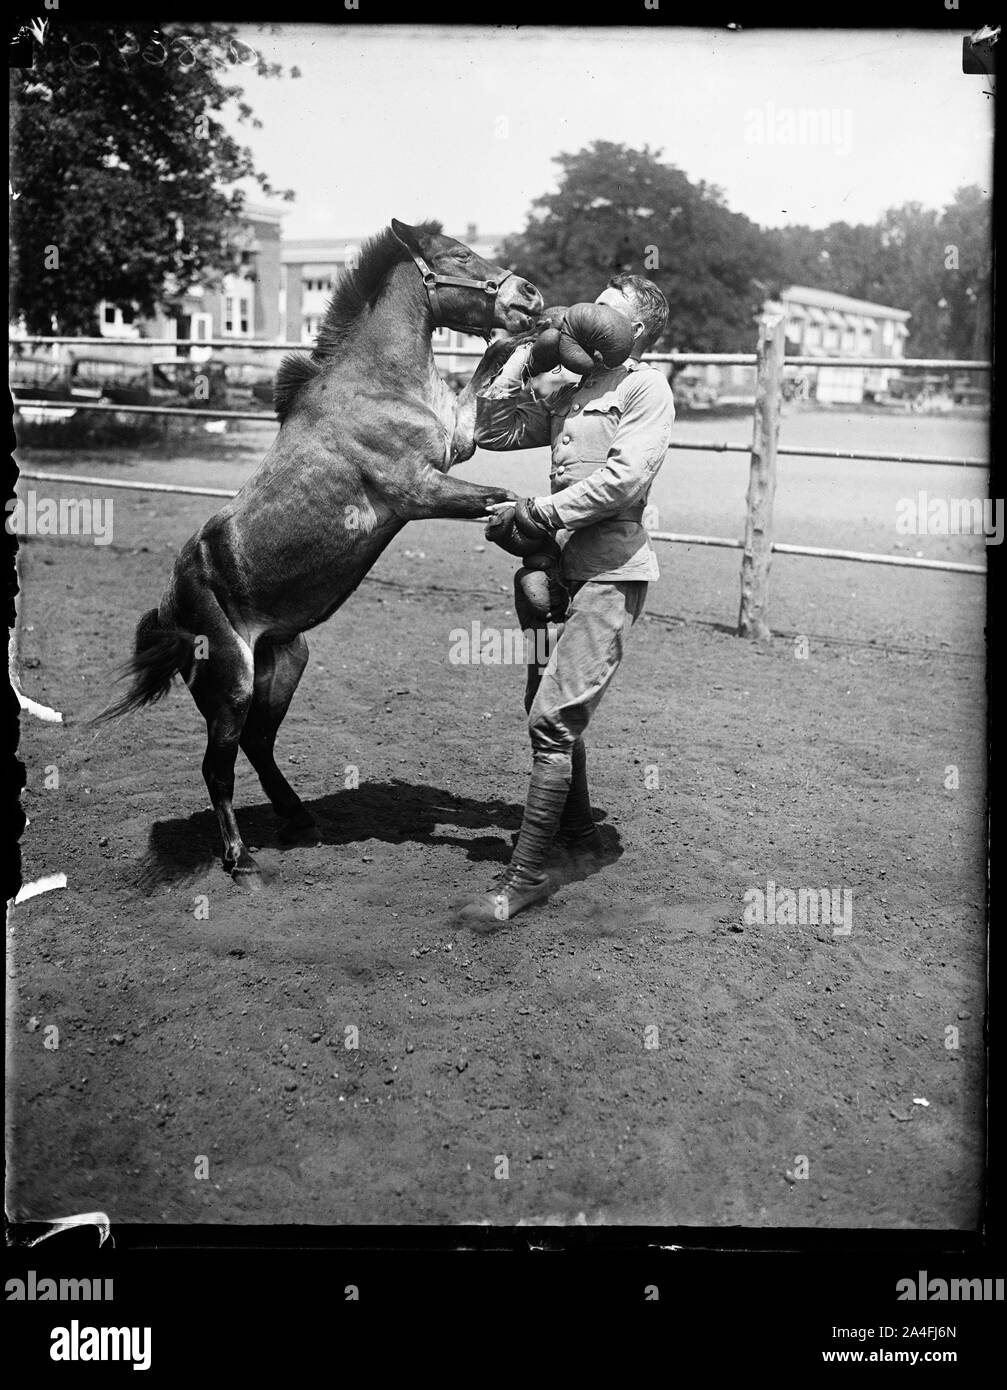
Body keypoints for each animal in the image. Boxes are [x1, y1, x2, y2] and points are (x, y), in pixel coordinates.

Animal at [96, 221, 542, 884]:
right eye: (459, 255)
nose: (530, 294)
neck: (378, 383)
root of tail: (173, 607)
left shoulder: (455, 442)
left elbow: (484, 382)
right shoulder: (420, 488)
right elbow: (502, 496)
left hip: (286, 663)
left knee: (258, 745)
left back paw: (299, 818)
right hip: (231, 682)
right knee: (217, 766)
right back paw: (240, 859)